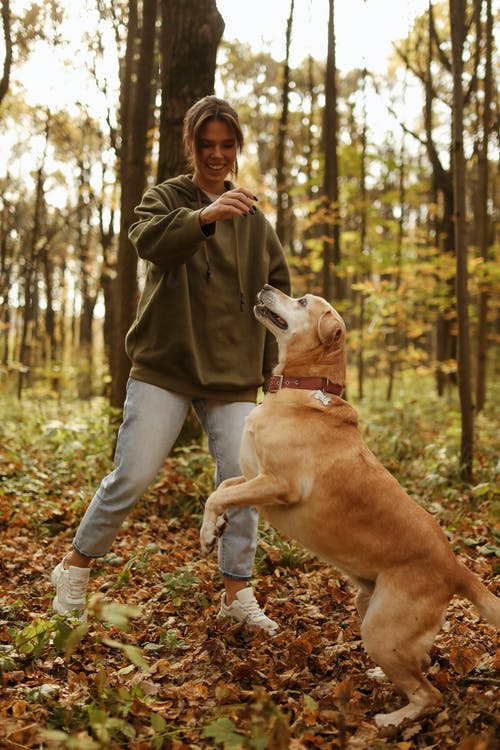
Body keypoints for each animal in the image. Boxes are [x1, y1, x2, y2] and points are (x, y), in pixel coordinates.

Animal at [200, 284, 500, 728]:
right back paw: (380, 677)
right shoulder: (253, 477)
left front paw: (208, 533)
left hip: (381, 627)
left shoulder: (279, 484)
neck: (303, 387)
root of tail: (455, 567)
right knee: (423, 663)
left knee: (429, 694)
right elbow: (220, 490)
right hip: (367, 606)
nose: (266, 287)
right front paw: (214, 527)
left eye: (302, 302)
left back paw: (392, 720)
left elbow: (220, 492)